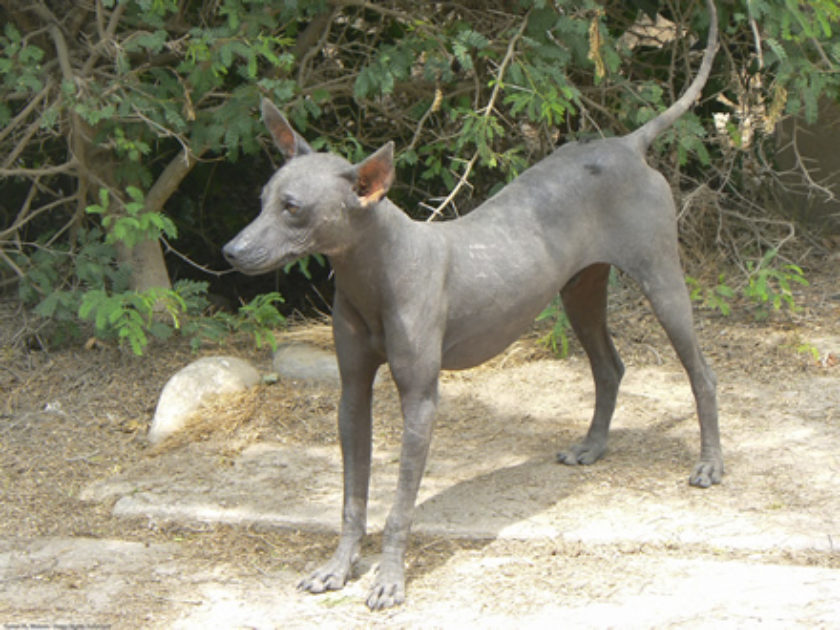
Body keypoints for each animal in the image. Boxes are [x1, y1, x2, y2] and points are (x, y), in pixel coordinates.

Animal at [223, 0, 720, 612]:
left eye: (292, 207)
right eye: (263, 199)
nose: (231, 251)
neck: (377, 272)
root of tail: (626, 143)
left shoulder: (421, 401)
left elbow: (398, 507)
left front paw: (390, 578)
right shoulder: (352, 394)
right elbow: (352, 498)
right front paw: (339, 567)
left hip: (662, 281)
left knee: (701, 372)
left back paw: (710, 463)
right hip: (580, 290)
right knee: (610, 366)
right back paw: (593, 447)